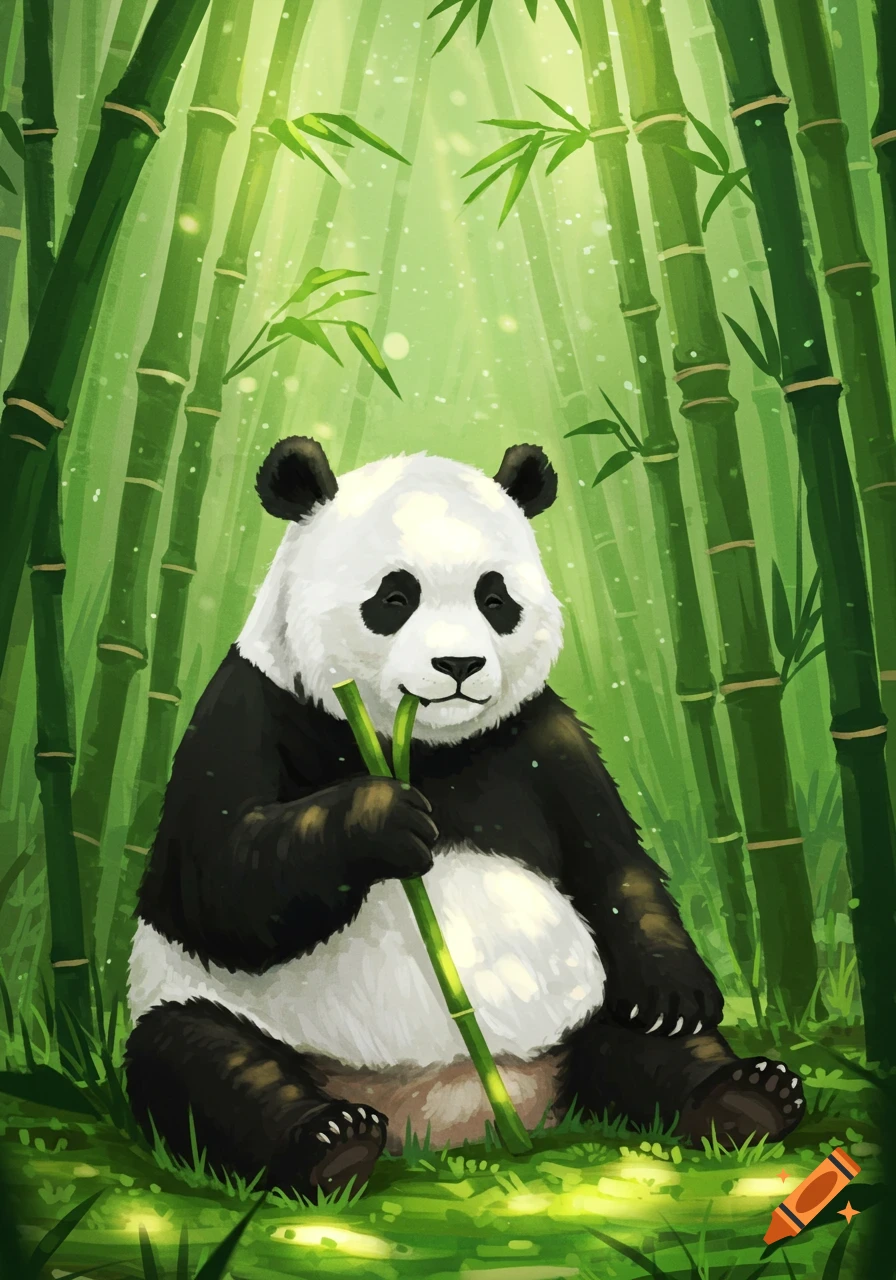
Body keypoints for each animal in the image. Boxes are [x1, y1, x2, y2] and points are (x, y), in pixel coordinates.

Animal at [125, 436, 804, 1198]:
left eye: (494, 598)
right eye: (395, 597)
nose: (458, 663)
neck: (424, 744)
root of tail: (456, 1118)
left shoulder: (543, 738)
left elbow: (609, 860)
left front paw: (675, 990)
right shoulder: (247, 708)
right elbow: (214, 884)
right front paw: (383, 817)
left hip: (580, 1017)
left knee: (643, 1043)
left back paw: (745, 1096)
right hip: (211, 1010)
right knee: (201, 1059)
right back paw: (330, 1141)